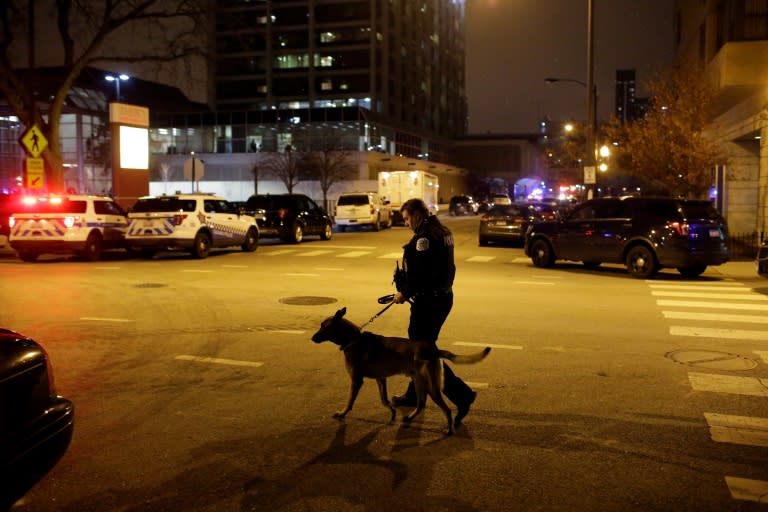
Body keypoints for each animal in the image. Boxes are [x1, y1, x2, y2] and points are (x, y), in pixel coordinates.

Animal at [312, 306, 492, 434]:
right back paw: (410, 417)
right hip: (419, 382)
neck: (353, 339)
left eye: (323, 327)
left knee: (445, 408)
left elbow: (350, 401)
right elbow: (384, 400)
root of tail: (433, 350)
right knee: (421, 404)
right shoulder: (381, 379)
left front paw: (342, 414)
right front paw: (392, 412)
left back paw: (449, 429)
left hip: (431, 386)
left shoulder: (356, 380)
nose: (312, 338)